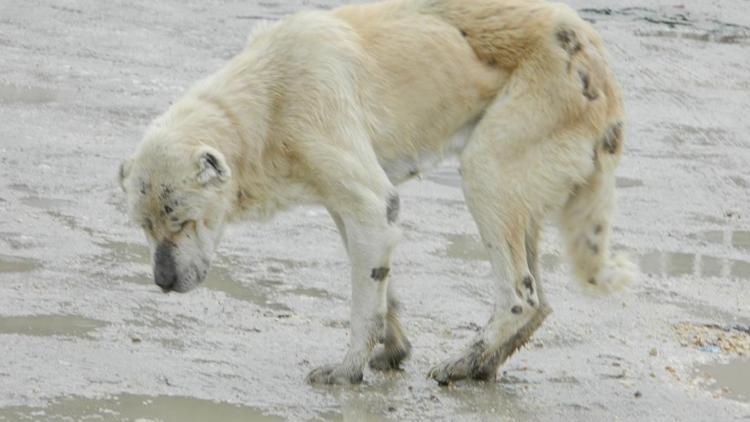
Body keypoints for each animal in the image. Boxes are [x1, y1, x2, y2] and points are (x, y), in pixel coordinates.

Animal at [120, 0, 636, 384]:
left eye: (183, 220)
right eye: (145, 228)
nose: (162, 283)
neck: (268, 100)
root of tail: (597, 59)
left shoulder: (370, 206)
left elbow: (362, 308)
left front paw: (347, 370)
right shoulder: (351, 212)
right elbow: (383, 296)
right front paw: (393, 351)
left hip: (485, 174)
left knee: (519, 299)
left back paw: (461, 363)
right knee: (540, 304)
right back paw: (481, 366)